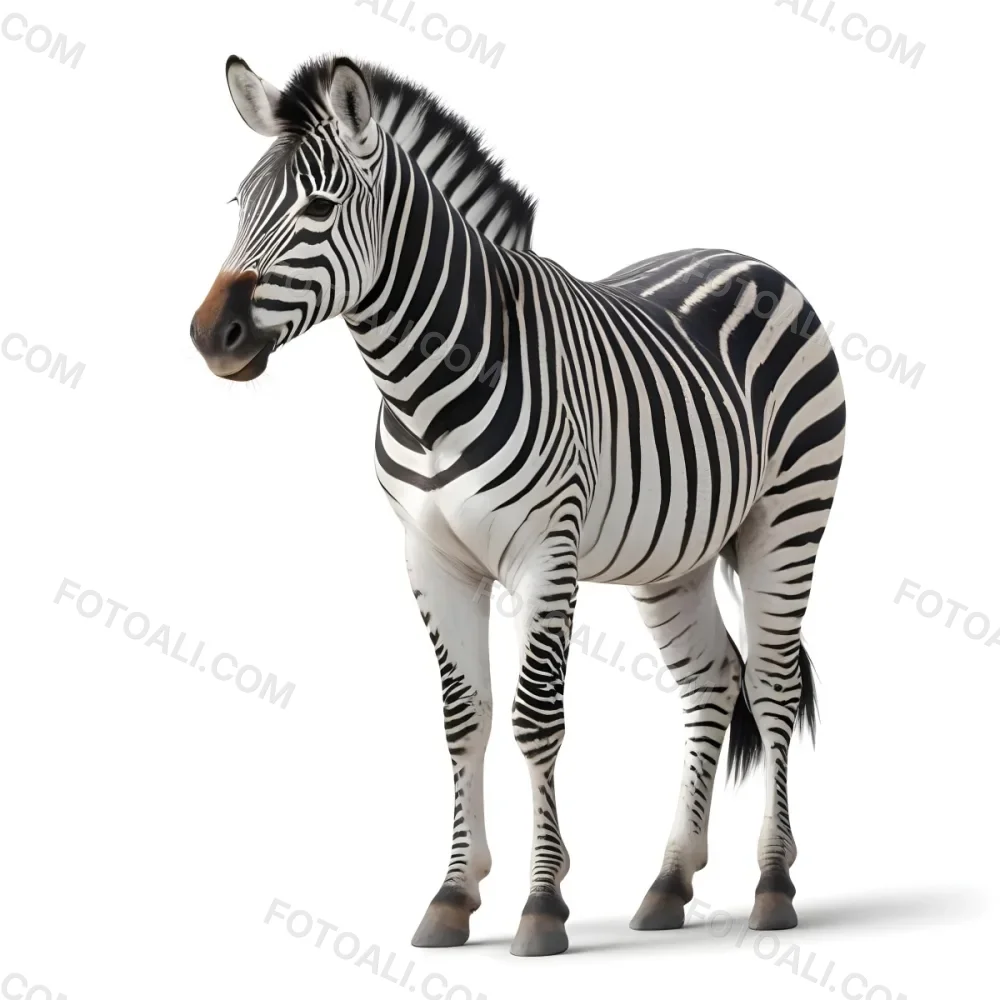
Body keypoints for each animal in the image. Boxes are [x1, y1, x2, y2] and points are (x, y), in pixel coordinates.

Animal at [190, 53, 846, 957]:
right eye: (239, 204)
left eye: (317, 209)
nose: (207, 335)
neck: (424, 390)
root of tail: (750, 260)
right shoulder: (430, 558)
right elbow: (463, 716)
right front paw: (453, 894)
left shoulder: (546, 554)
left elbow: (537, 718)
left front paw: (542, 904)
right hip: (672, 559)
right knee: (712, 683)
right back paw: (669, 882)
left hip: (785, 519)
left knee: (774, 686)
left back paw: (774, 885)